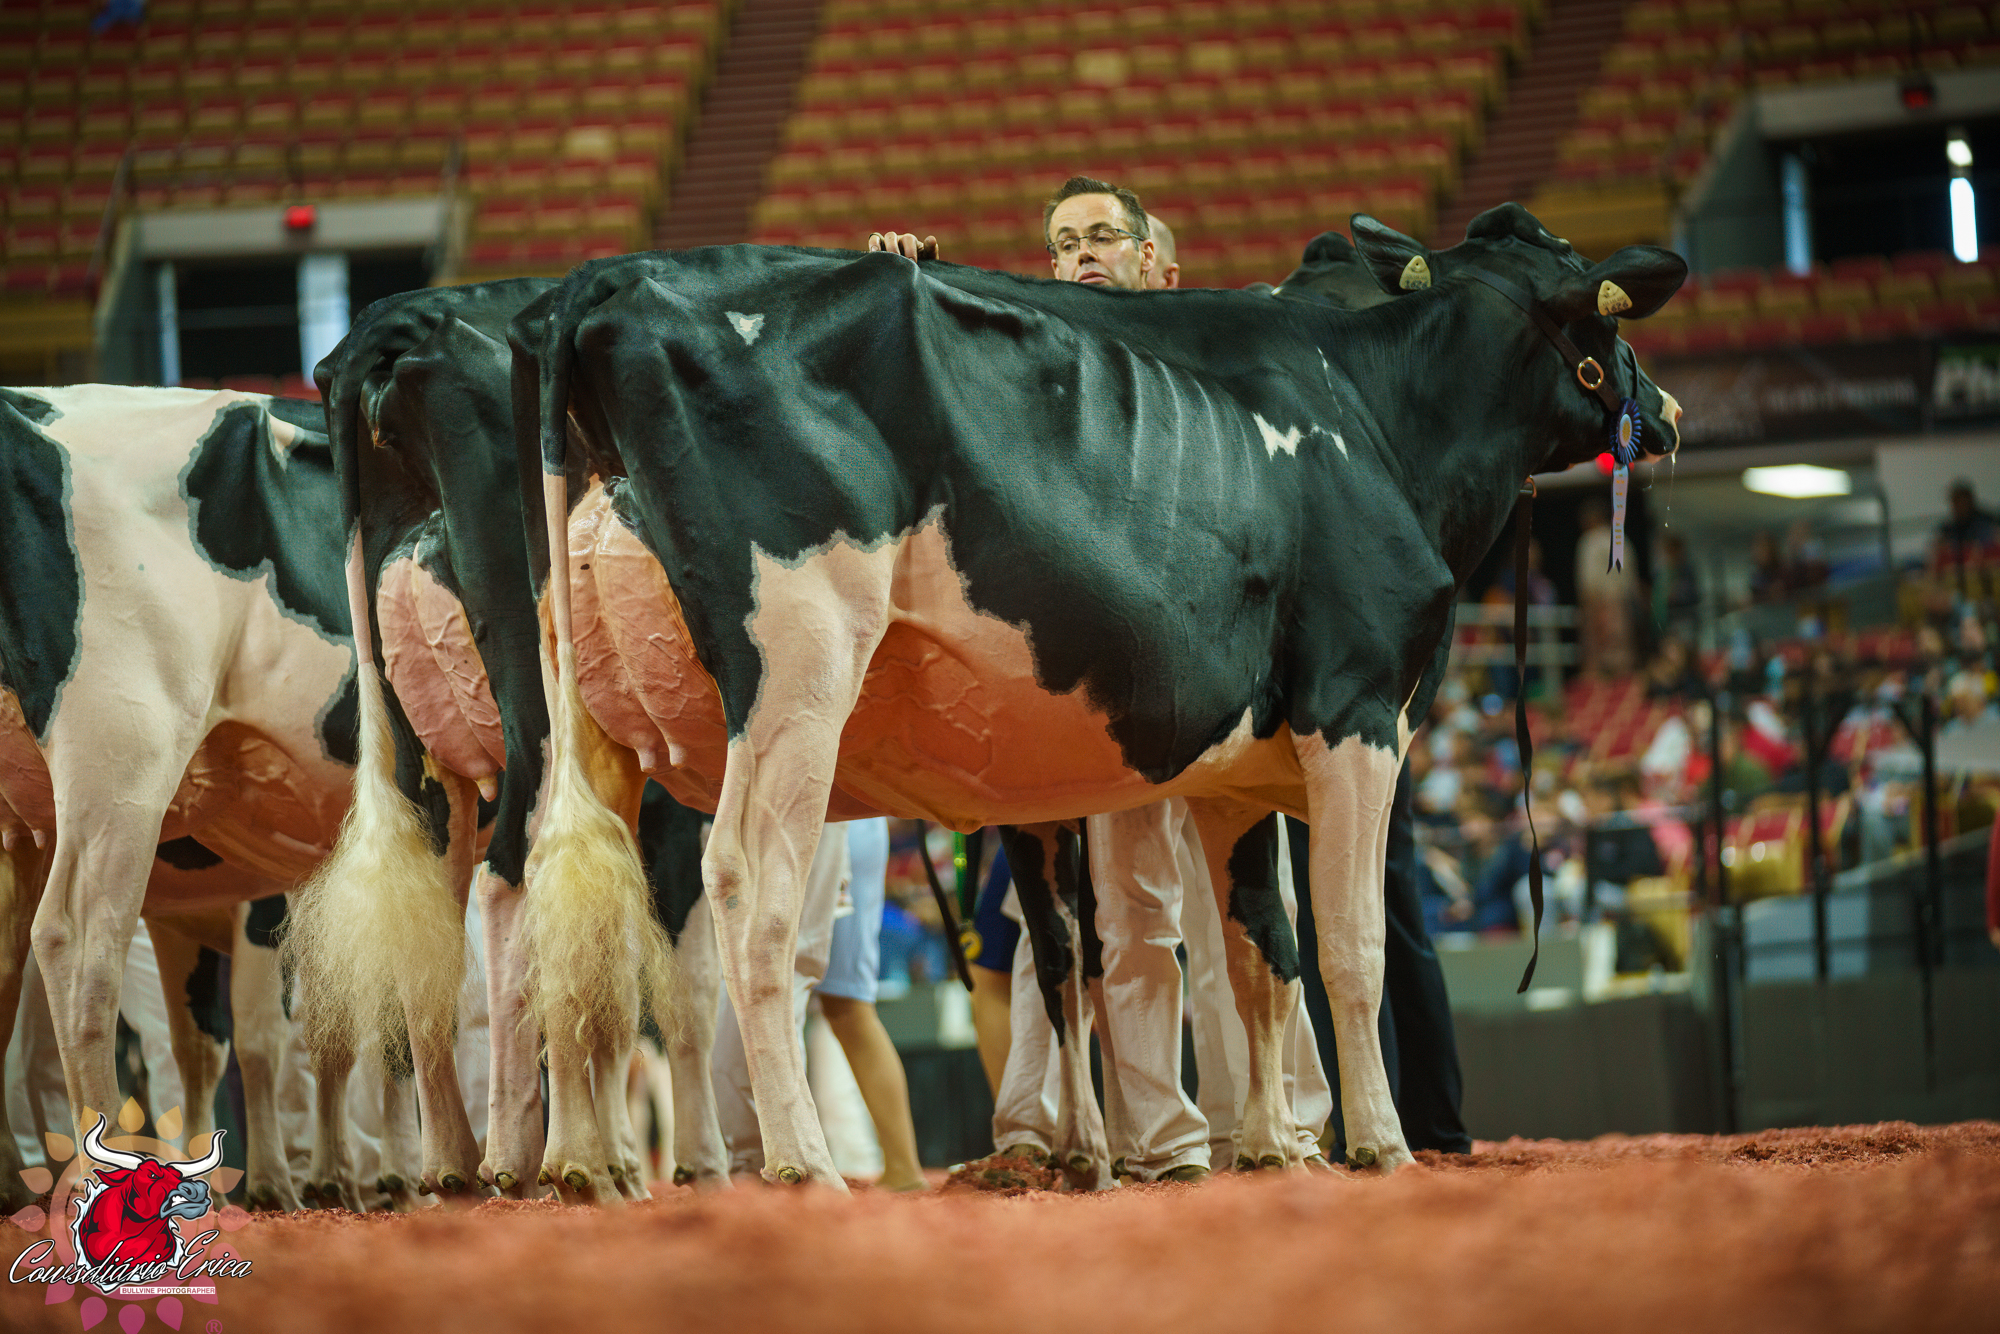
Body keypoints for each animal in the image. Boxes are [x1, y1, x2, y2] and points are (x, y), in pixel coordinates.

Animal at [505, 201, 1684, 1194]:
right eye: (1598, 301)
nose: (1667, 412)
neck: (1378, 419)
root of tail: (605, 281)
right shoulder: (1355, 709)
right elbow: (1352, 948)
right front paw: (1379, 1145)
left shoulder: (1239, 770)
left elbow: (1260, 955)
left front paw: (1269, 1146)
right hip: (798, 665)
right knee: (747, 888)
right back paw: (802, 1162)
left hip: (588, 715)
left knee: (561, 901)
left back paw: (583, 1166)